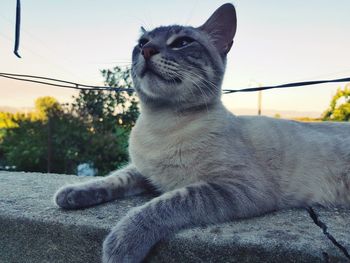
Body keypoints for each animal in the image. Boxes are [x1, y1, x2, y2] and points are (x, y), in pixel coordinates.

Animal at [53, 2, 348, 263]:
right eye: (142, 42)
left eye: (182, 42)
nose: (147, 49)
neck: (160, 124)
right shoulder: (146, 173)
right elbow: (114, 178)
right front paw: (71, 194)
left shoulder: (237, 186)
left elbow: (163, 204)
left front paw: (120, 243)